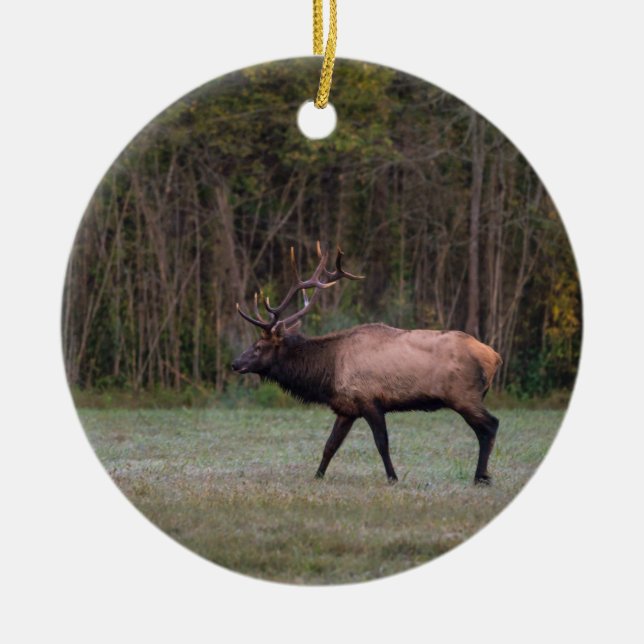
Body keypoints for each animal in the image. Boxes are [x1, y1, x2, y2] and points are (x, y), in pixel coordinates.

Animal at [232, 242, 502, 485]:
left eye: (259, 346)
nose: (235, 363)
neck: (328, 372)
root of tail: (494, 357)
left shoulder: (370, 400)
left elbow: (382, 443)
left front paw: (393, 478)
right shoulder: (346, 408)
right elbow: (330, 445)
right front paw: (317, 476)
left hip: (463, 395)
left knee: (490, 425)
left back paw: (481, 476)